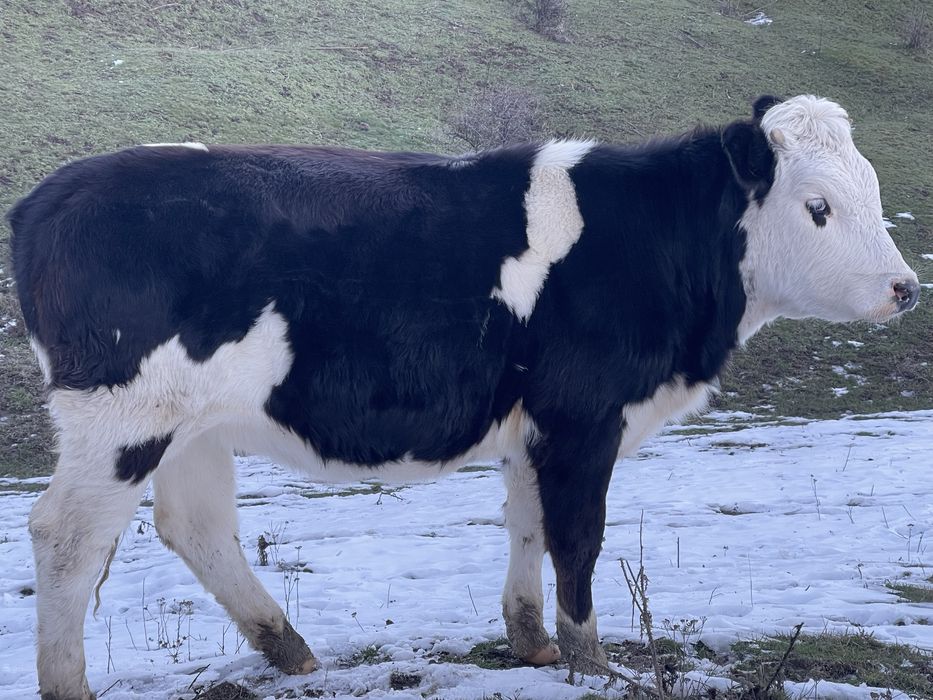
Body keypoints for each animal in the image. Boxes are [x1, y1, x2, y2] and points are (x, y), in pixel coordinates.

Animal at [8, 95, 919, 700]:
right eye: (817, 207)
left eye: (872, 190)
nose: (906, 288)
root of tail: (48, 196)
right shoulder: (583, 417)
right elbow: (577, 537)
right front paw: (591, 661)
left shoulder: (532, 425)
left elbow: (527, 522)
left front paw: (532, 644)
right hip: (121, 419)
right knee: (66, 538)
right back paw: (70, 684)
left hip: (192, 425)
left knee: (193, 525)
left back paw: (288, 648)